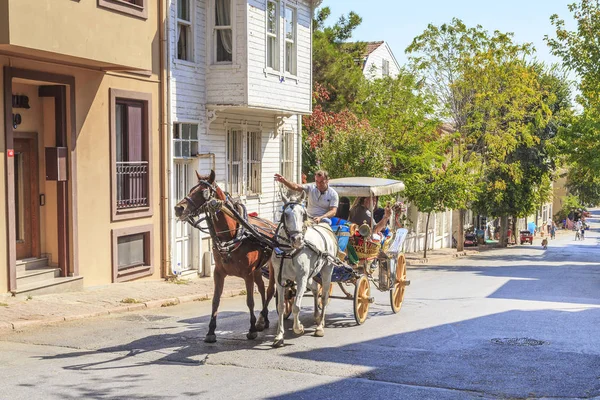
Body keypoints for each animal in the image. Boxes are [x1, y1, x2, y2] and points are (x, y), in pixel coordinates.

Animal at [173, 170, 276, 342]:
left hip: (273, 267)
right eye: (191, 189)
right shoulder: (219, 272)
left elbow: (250, 301)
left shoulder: (247, 274)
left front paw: (252, 329)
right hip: (257, 270)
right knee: (262, 288)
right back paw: (265, 319)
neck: (233, 236)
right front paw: (210, 331)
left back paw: (261, 319)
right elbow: (215, 300)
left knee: (270, 291)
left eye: (203, 192)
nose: (178, 208)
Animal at [274, 194, 340, 346]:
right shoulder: (279, 279)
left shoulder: (301, 278)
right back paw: (317, 316)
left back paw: (320, 326)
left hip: (327, 271)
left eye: (303, 214)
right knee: (315, 289)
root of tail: (325, 226)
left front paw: (298, 328)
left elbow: (296, 306)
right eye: (285, 215)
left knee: (324, 297)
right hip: (311, 275)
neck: (288, 251)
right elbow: (281, 306)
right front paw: (279, 336)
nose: (297, 239)